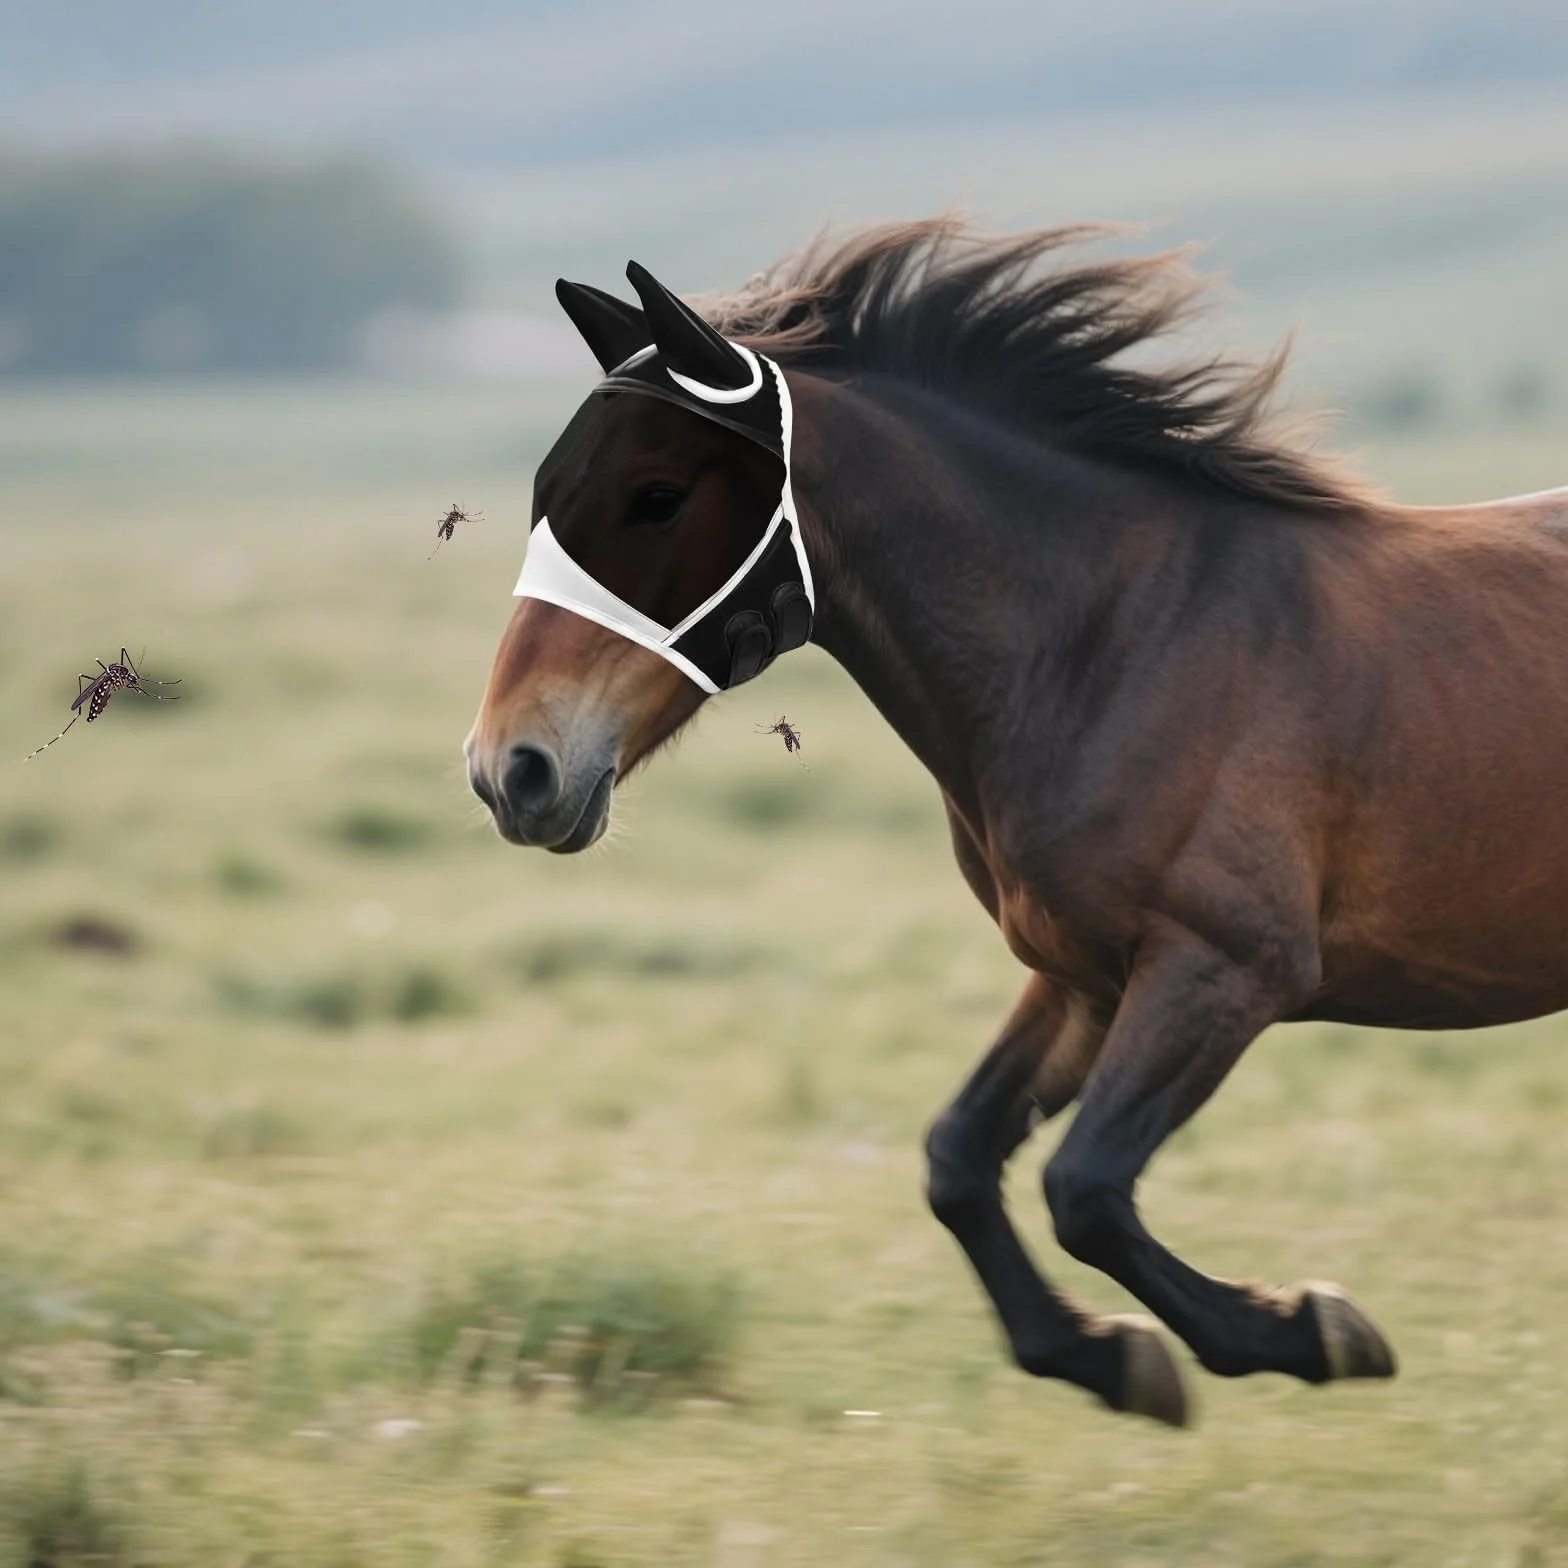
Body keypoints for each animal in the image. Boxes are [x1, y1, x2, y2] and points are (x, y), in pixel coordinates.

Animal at [465, 218, 1568, 1427]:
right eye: (543, 491)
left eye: (656, 495)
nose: (510, 771)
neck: (1111, 641)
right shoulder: (1082, 973)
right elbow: (958, 1157)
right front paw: (1110, 1356)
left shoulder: (1225, 969)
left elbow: (1082, 1187)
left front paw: (1312, 1328)